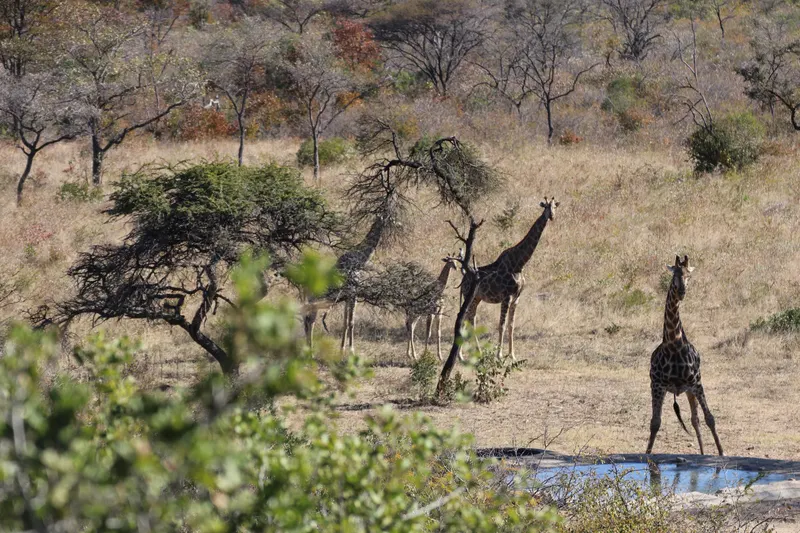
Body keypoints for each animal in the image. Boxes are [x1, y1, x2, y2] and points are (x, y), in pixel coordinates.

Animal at [460, 197, 558, 361]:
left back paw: (473, 353)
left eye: (554, 207)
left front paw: (512, 355)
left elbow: (512, 325)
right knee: (466, 320)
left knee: (470, 319)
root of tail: (463, 279)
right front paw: (499, 355)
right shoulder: (506, 297)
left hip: (477, 298)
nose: (551, 216)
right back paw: (464, 355)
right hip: (470, 297)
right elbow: (502, 324)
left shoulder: (517, 298)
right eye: (545, 207)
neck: (519, 263)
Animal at [646, 255, 724, 456]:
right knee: (693, 419)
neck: (674, 346)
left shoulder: (696, 383)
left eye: (689, 276)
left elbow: (710, 418)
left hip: (691, 389)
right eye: (674, 275)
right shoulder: (657, 385)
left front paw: (722, 453)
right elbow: (655, 423)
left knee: (696, 419)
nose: (682, 292)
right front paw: (646, 454)